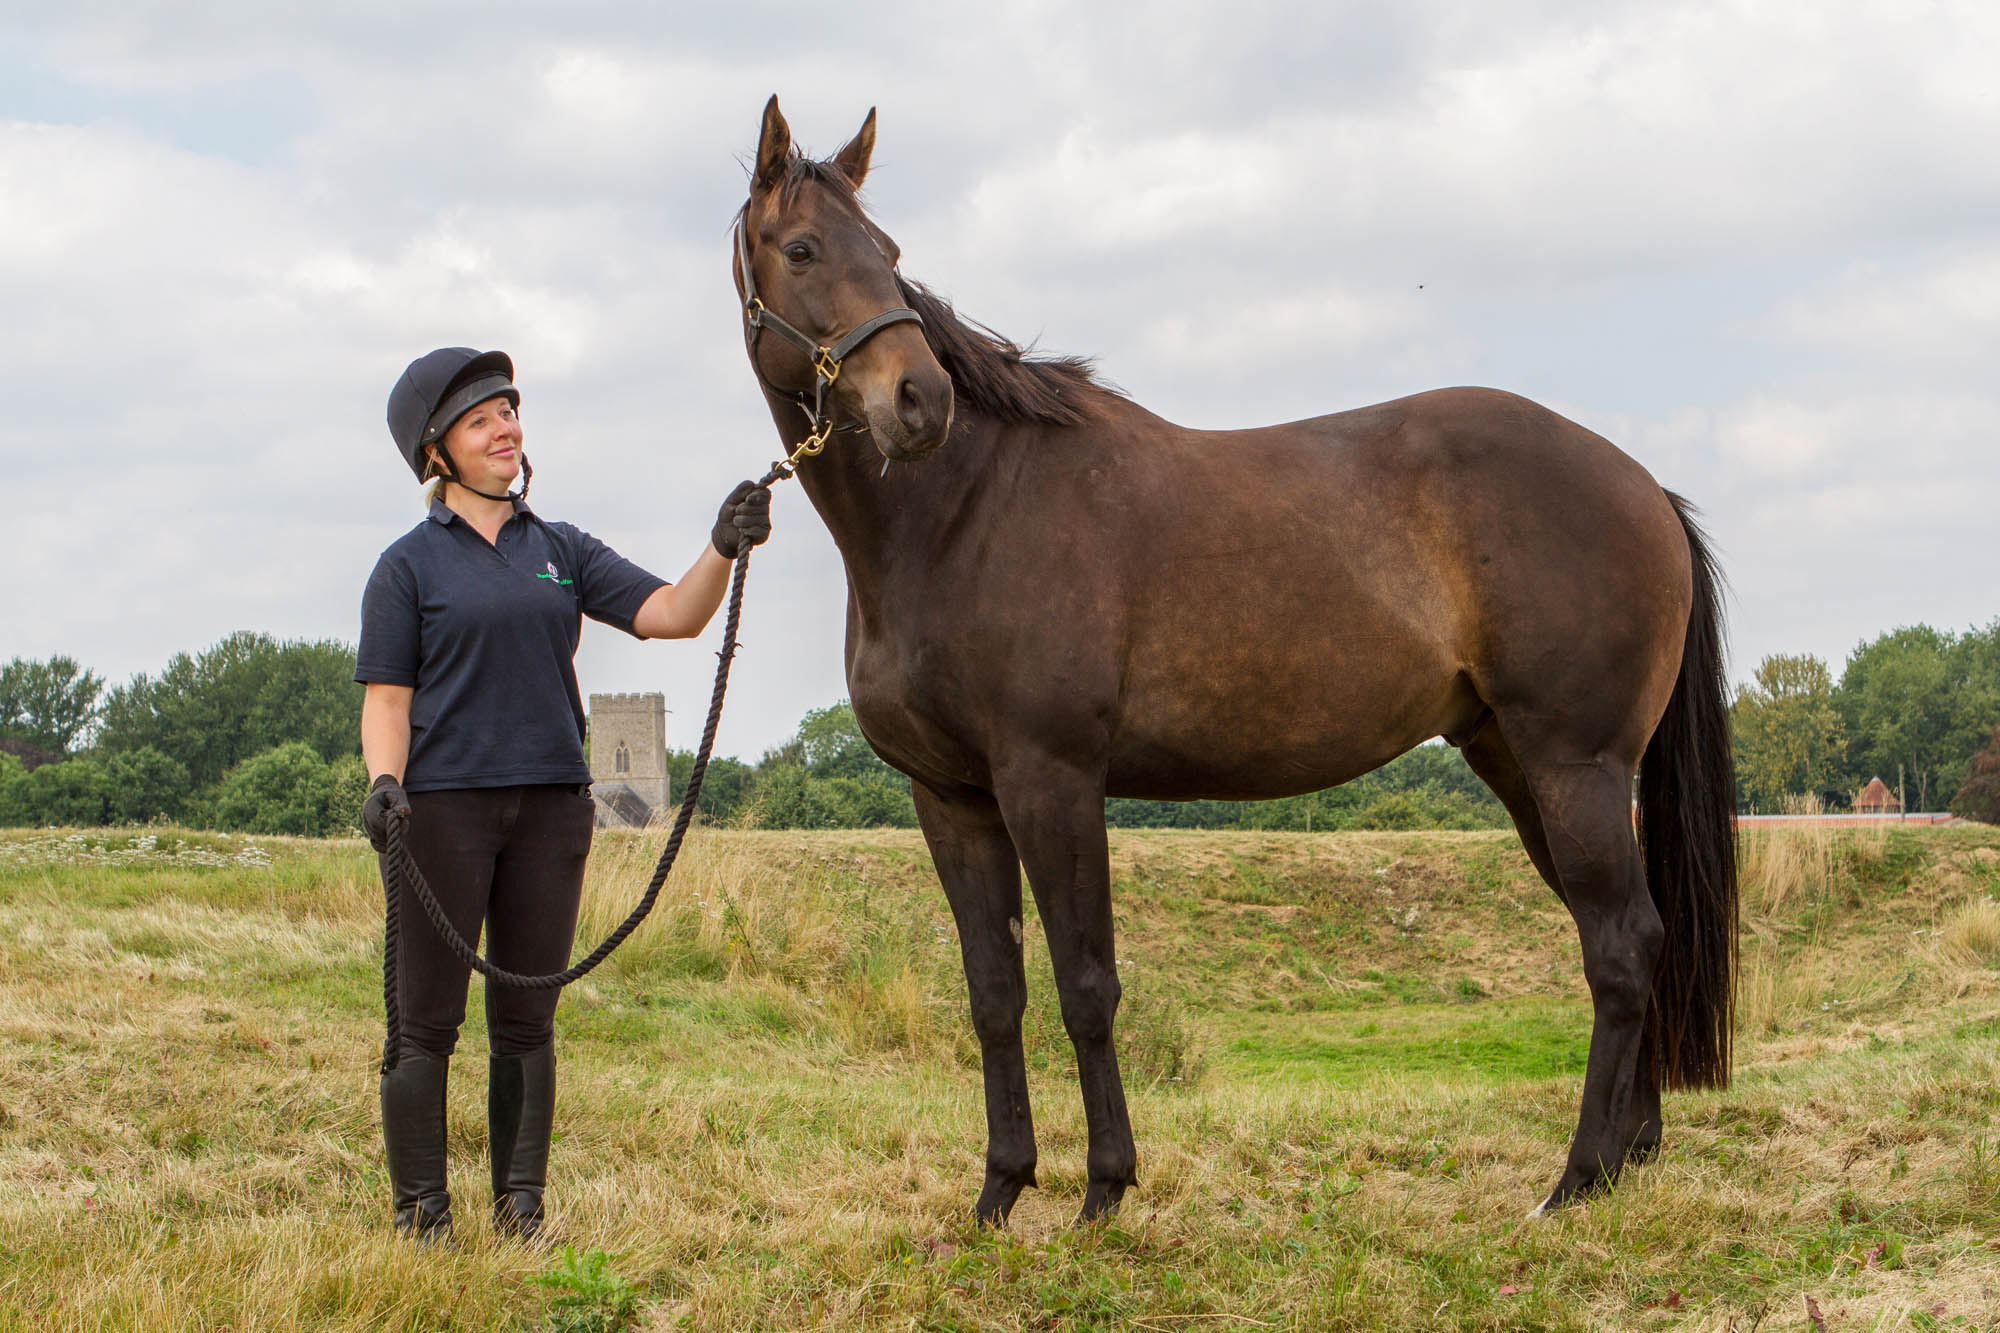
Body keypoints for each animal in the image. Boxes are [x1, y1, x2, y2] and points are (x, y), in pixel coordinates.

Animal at [732, 98, 1736, 1224]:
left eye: (890, 253)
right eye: (804, 248)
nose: (920, 402)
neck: (965, 509)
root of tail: (1644, 485)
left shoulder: (1051, 780)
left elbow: (1087, 985)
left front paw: (1103, 1189)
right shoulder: (950, 798)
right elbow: (995, 993)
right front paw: (999, 1193)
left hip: (1576, 766)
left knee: (1619, 945)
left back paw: (1576, 1176)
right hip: (1521, 766)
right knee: (1626, 933)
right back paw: (1629, 1151)